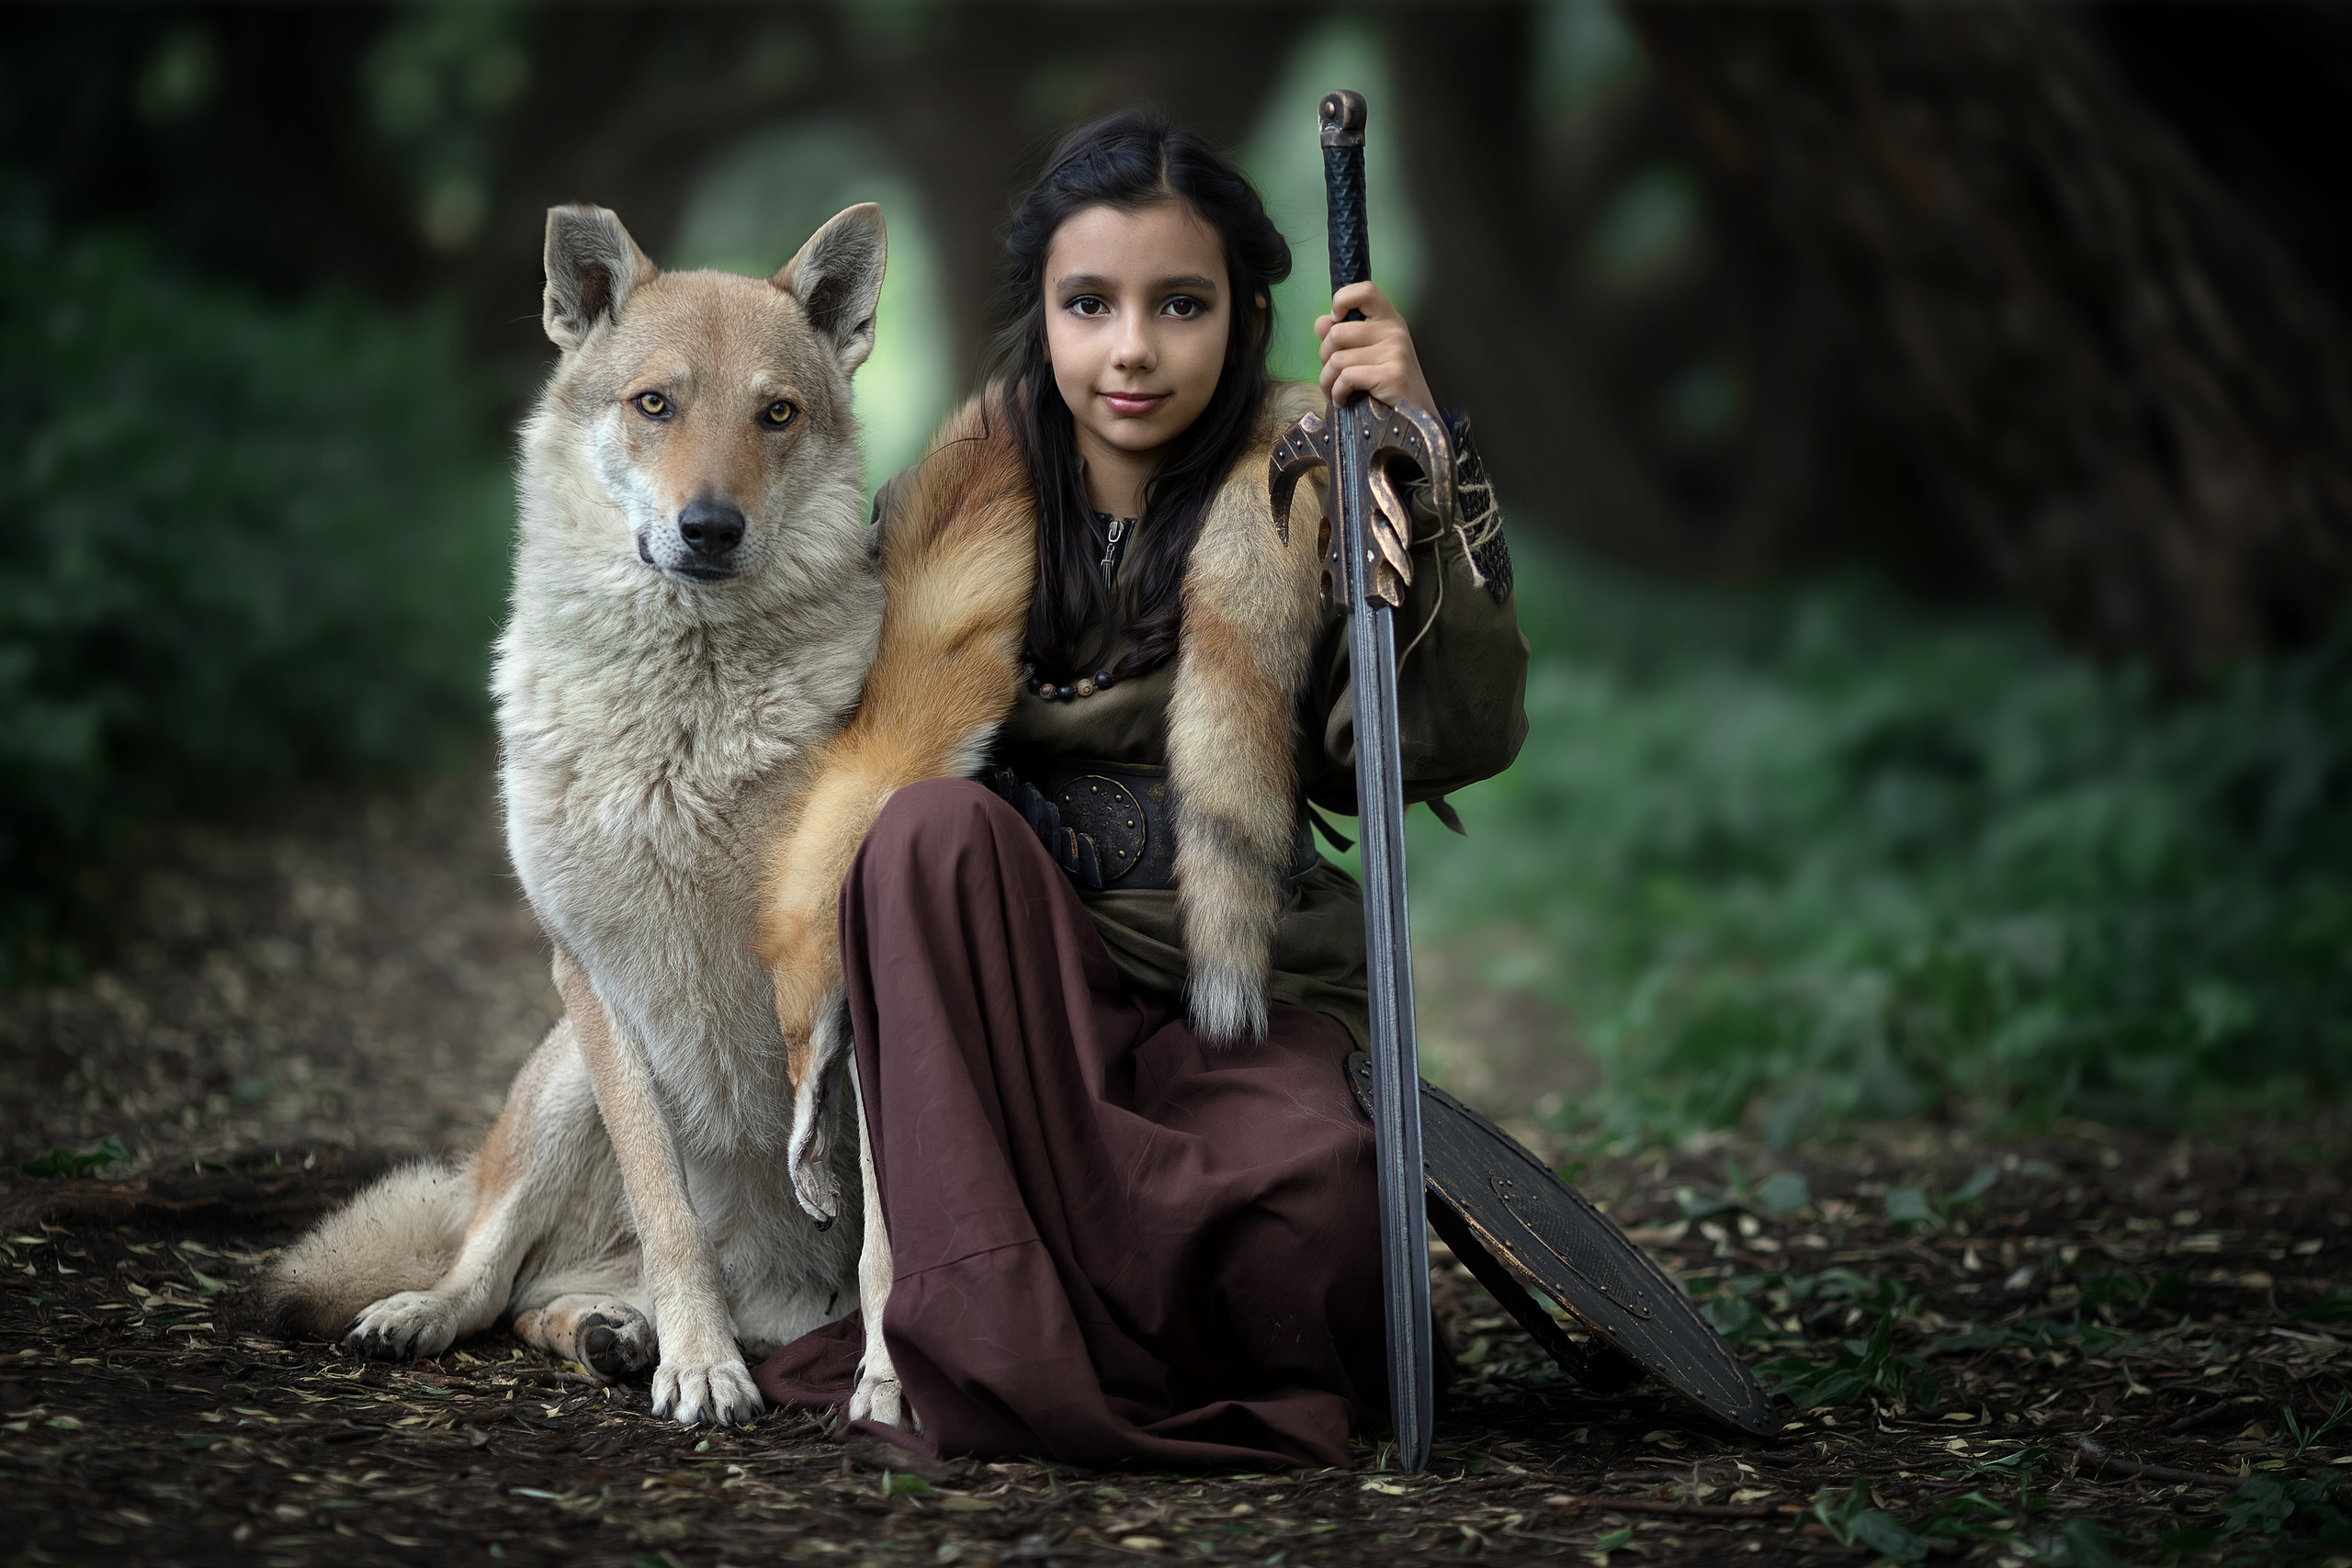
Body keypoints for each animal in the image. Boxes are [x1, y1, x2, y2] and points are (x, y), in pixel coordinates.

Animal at [261, 201, 889, 1426]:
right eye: (654, 404)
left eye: (776, 414)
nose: (711, 528)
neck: (681, 729)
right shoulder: (596, 981)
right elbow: (668, 1214)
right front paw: (701, 1367)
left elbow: (894, 1224)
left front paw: (891, 1380)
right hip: (558, 1084)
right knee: (493, 1280)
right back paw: (506, 1325)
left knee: (540, 1295)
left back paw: (617, 1331)